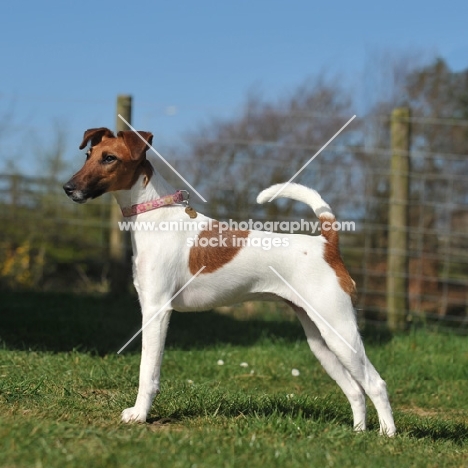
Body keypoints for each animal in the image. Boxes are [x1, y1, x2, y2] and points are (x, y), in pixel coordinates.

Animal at [64, 127, 396, 436]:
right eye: (88, 155)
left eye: (109, 158)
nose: (68, 188)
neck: (156, 216)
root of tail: (327, 244)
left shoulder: (156, 311)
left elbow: (148, 372)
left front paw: (140, 415)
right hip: (320, 340)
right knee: (355, 389)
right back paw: (358, 433)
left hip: (340, 330)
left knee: (376, 383)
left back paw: (387, 436)